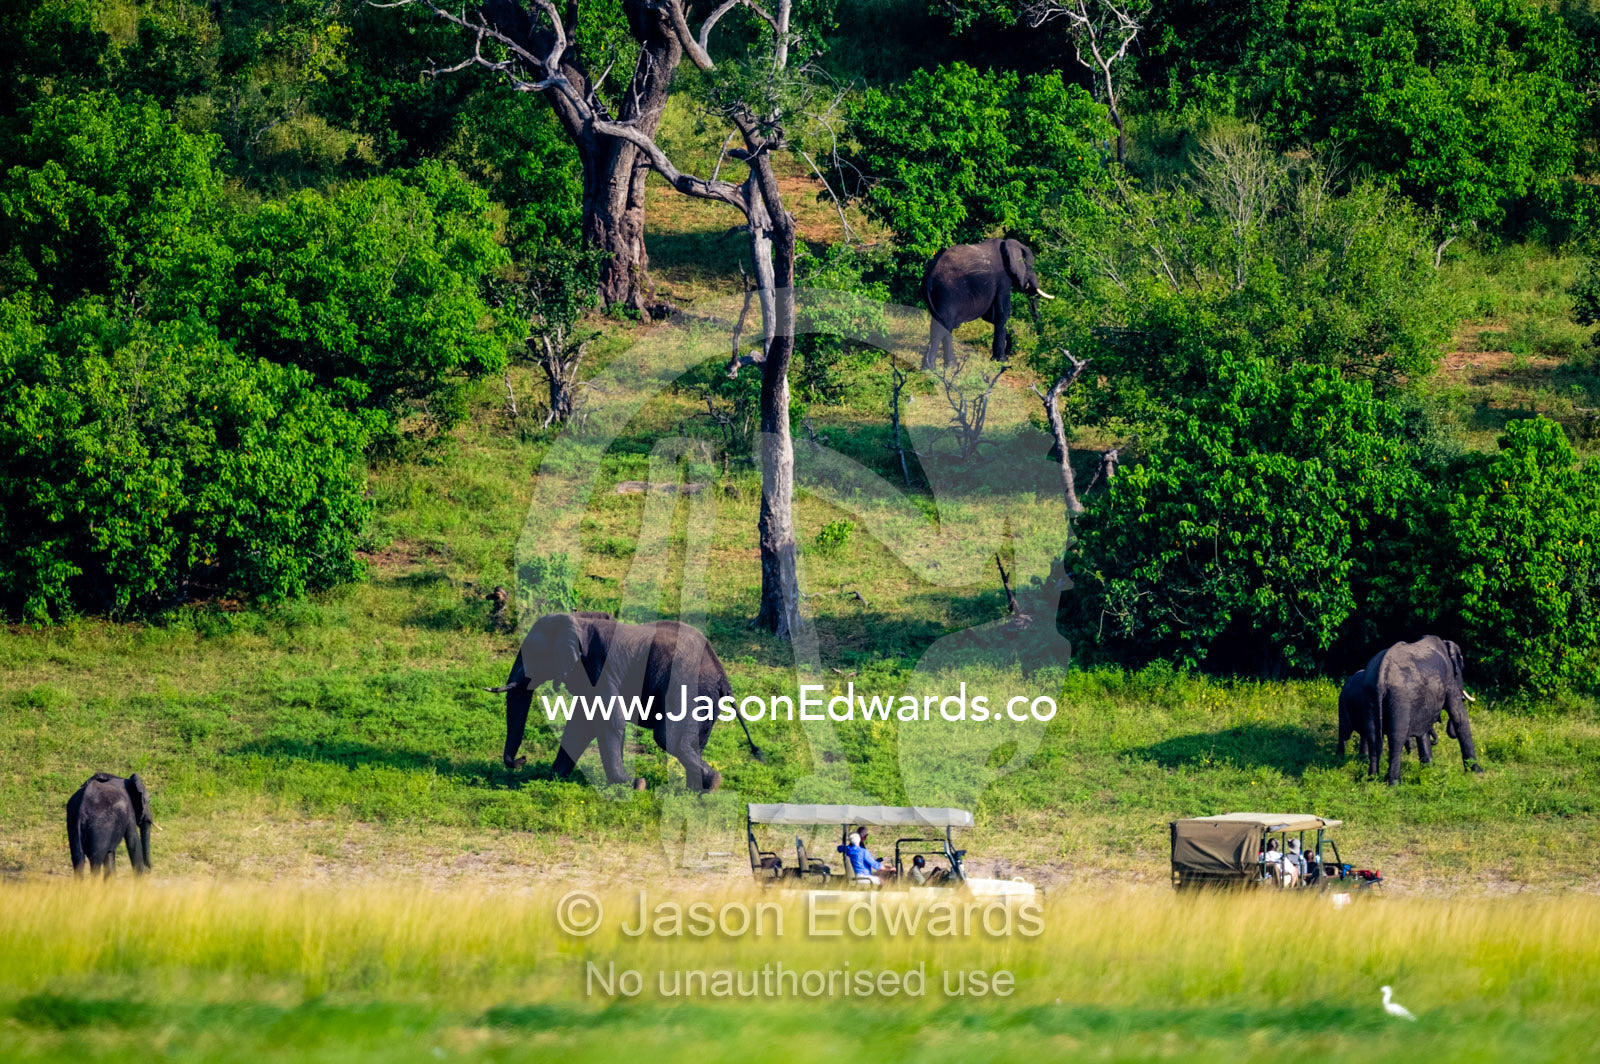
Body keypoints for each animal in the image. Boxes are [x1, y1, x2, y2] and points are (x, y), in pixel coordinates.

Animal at [492, 611, 762, 792]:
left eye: (531, 654)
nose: (521, 760)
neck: (577, 622)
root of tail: (723, 675)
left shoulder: (601, 668)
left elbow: (609, 721)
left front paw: (634, 785)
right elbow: (581, 724)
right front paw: (553, 779)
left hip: (686, 683)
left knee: (667, 737)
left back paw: (712, 783)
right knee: (692, 739)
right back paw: (695, 790)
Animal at [922, 237, 1054, 370]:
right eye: (1030, 267)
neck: (1007, 244)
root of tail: (930, 276)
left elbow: (991, 317)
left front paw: (1011, 351)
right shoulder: (1003, 278)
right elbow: (1003, 313)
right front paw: (1002, 360)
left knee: (944, 325)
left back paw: (948, 366)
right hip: (947, 292)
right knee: (942, 327)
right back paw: (931, 368)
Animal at [1360, 636, 1480, 784]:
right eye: (1461, 668)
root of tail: (1381, 674)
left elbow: (1423, 729)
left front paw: (1429, 769)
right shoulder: (1449, 679)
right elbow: (1458, 714)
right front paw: (1478, 772)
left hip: (1369, 695)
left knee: (1372, 737)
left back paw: (1372, 779)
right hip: (1399, 697)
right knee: (1396, 738)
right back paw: (1394, 783)